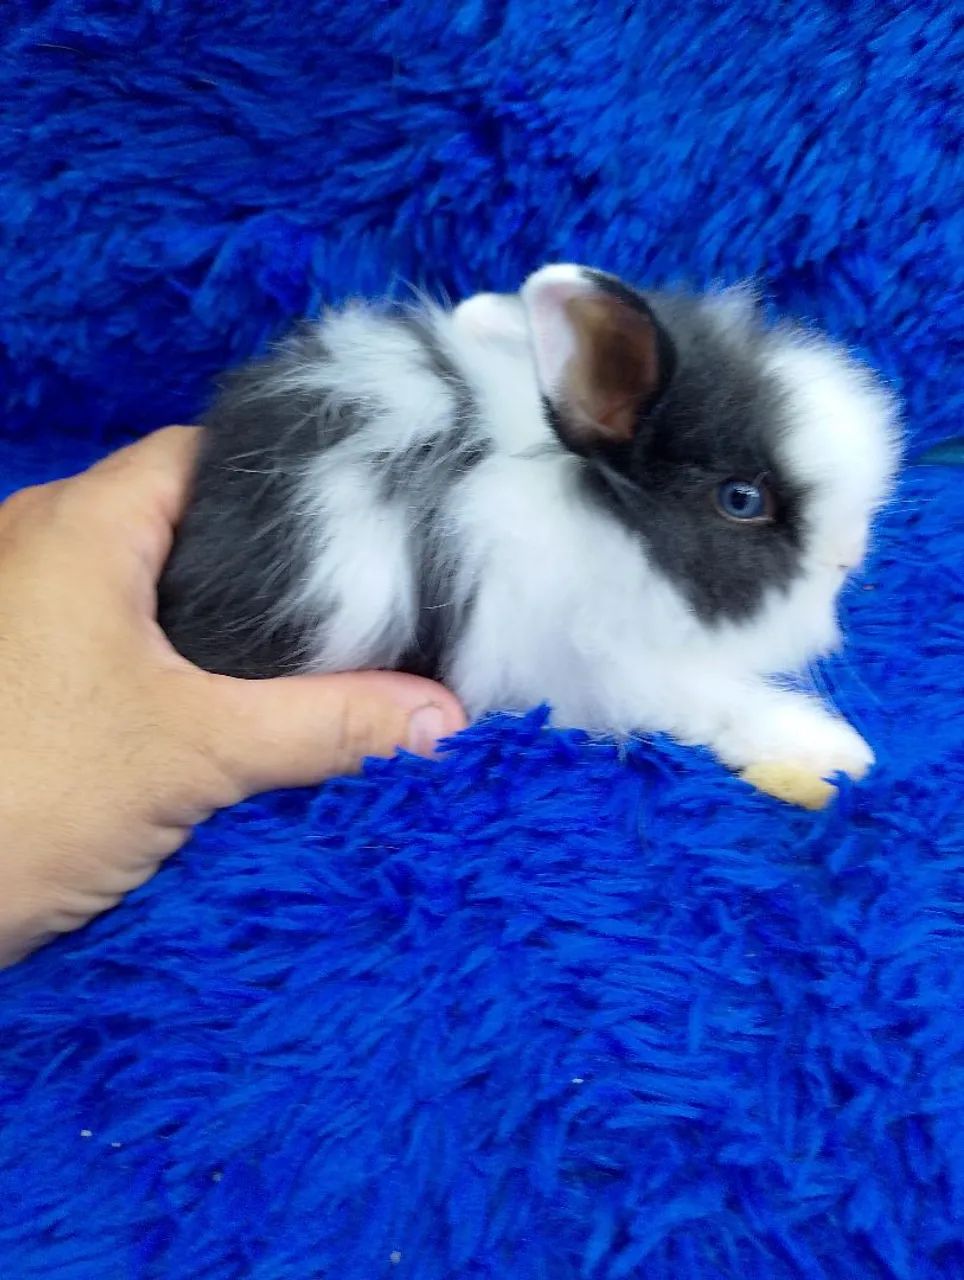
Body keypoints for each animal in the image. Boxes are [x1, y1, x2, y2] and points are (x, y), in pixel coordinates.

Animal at [158, 264, 901, 783]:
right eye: (742, 499)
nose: (850, 554)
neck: (608, 530)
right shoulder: (615, 671)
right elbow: (725, 704)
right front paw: (838, 750)